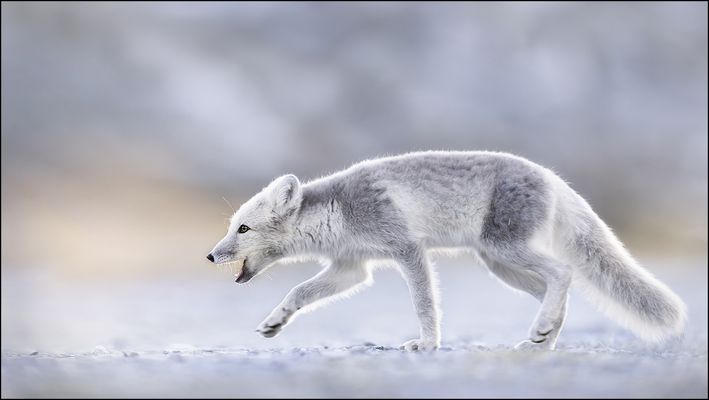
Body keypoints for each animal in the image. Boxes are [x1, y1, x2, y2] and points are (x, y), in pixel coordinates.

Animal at [206, 150, 686, 351]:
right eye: (230, 227)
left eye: (243, 228)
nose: (210, 256)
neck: (339, 212)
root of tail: (553, 178)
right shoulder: (351, 267)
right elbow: (299, 293)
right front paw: (275, 322)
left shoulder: (406, 248)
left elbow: (424, 302)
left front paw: (428, 343)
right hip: (500, 265)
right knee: (560, 294)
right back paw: (543, 339)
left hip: (503, 249)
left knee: (564, 273)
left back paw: (542, 331)